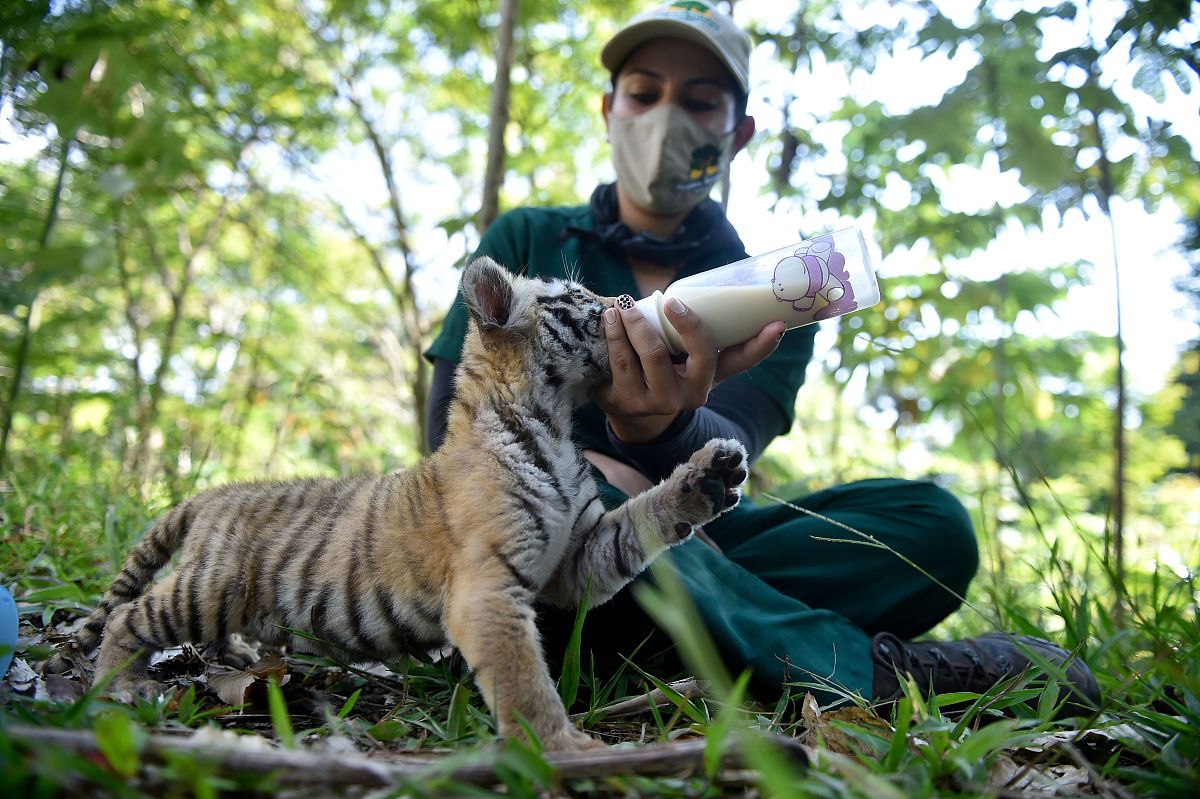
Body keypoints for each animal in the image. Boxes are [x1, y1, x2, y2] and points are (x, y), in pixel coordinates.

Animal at [46, 256, 749, 751]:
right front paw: (566, 749)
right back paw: (122, 683)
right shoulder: (487, 588)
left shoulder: (576, 557)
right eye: (577, 300)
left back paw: (238, 661)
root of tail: (215, 493)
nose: (627, 305)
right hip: (209, 589)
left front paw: (709, 477)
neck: (553, 423)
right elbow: (524, 682)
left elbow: (641, 520)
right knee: (127, 614)